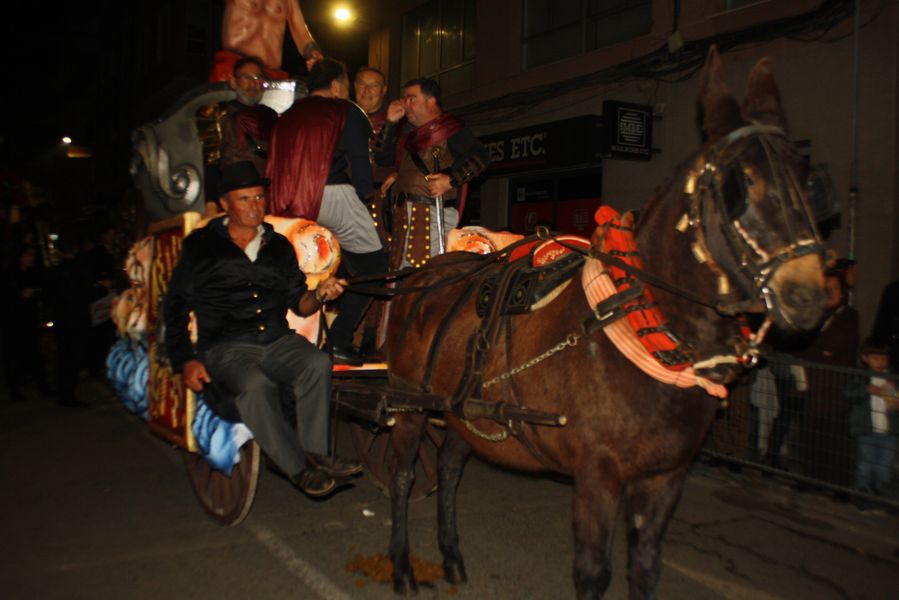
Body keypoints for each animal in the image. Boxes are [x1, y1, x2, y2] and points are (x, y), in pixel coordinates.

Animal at [382, 46, 828, 599]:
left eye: (810, 181)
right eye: (737, 185)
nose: (808, 294)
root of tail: (419, 275)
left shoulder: (665, 477)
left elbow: (645, 567)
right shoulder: (598, 475)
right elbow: (593, 573)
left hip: (466, 411)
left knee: (448, 468)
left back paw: (451, 555)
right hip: (409, 403)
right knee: (403, 476)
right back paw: (402, 564)